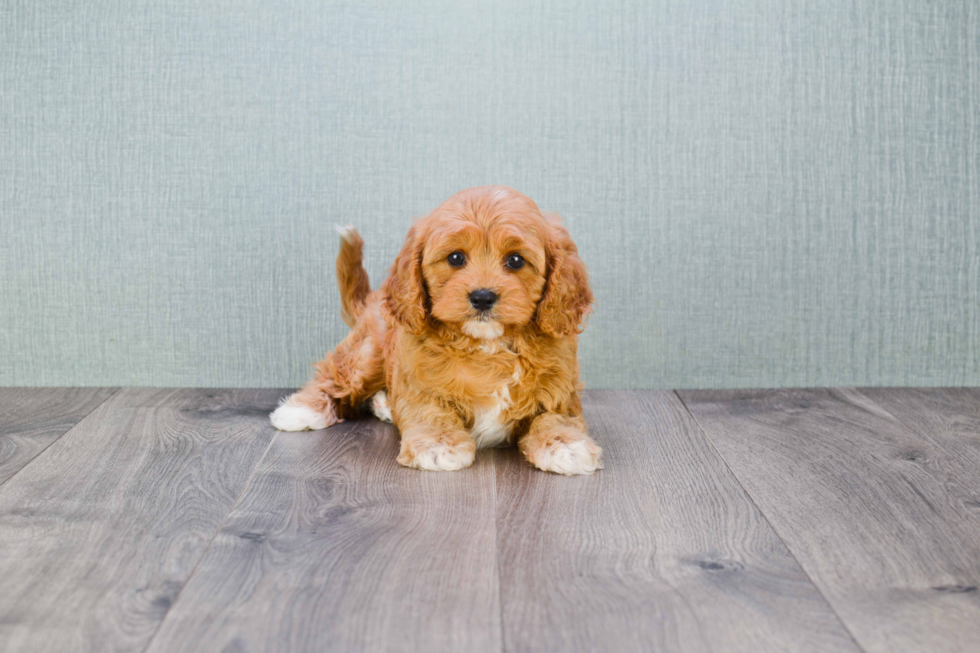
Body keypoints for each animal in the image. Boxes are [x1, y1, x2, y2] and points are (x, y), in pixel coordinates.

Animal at [272, 183, 600, 474]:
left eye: (516, 260)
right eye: (455, 257)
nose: (483, 297)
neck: (487, 344)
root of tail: (373, 298)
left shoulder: (559, 388)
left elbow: (557, 416)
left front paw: (566, 445)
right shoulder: (421, 382)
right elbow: (431, 412)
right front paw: (439, 445)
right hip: (367, 354)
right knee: (335, 375)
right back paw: (302, 409)